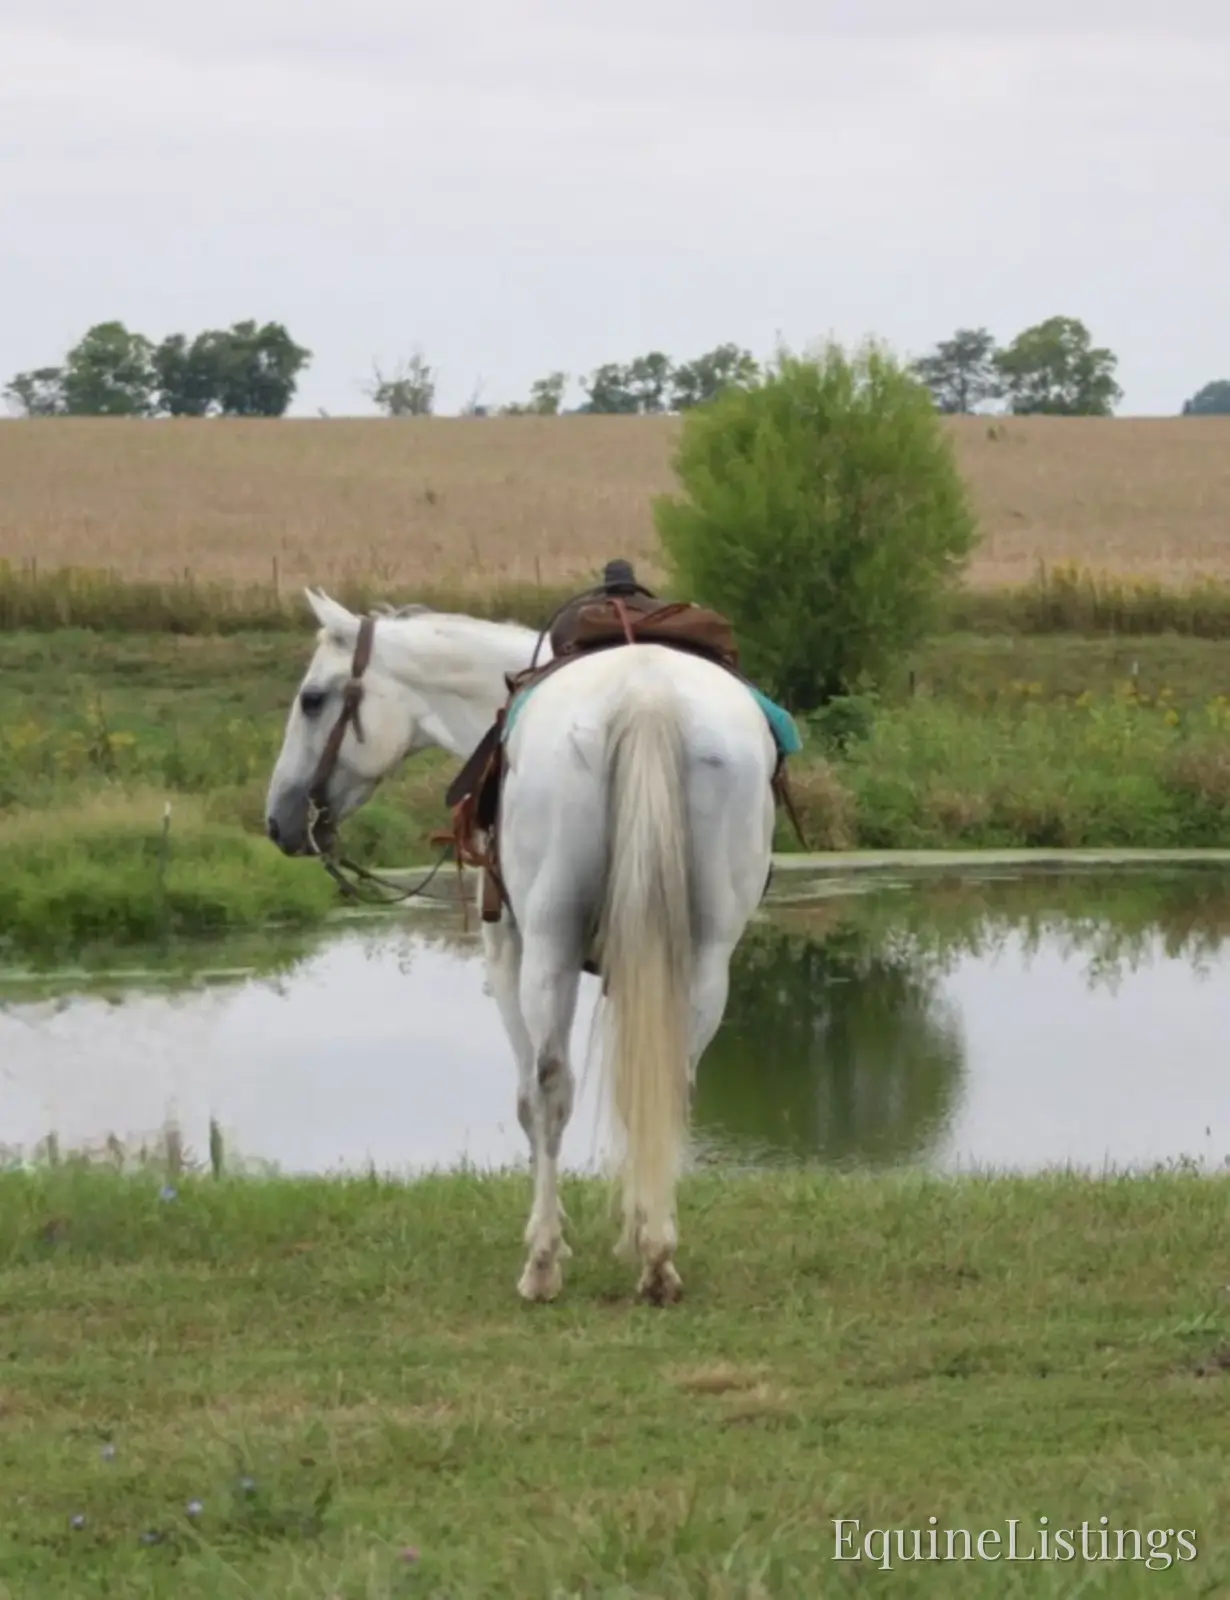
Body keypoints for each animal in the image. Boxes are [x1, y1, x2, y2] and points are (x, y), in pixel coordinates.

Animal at [265, 588, 779, 1305]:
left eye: (313, 699)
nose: (278, 820)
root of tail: (645, 695)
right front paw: (631, 1229)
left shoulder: (504, 950)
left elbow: (528, 1101)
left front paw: (551, 1236)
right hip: (705, 959)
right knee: (673, 1082)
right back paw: (657, 1260)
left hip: (548, 947)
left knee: (551, 1086)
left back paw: (542, 1269)